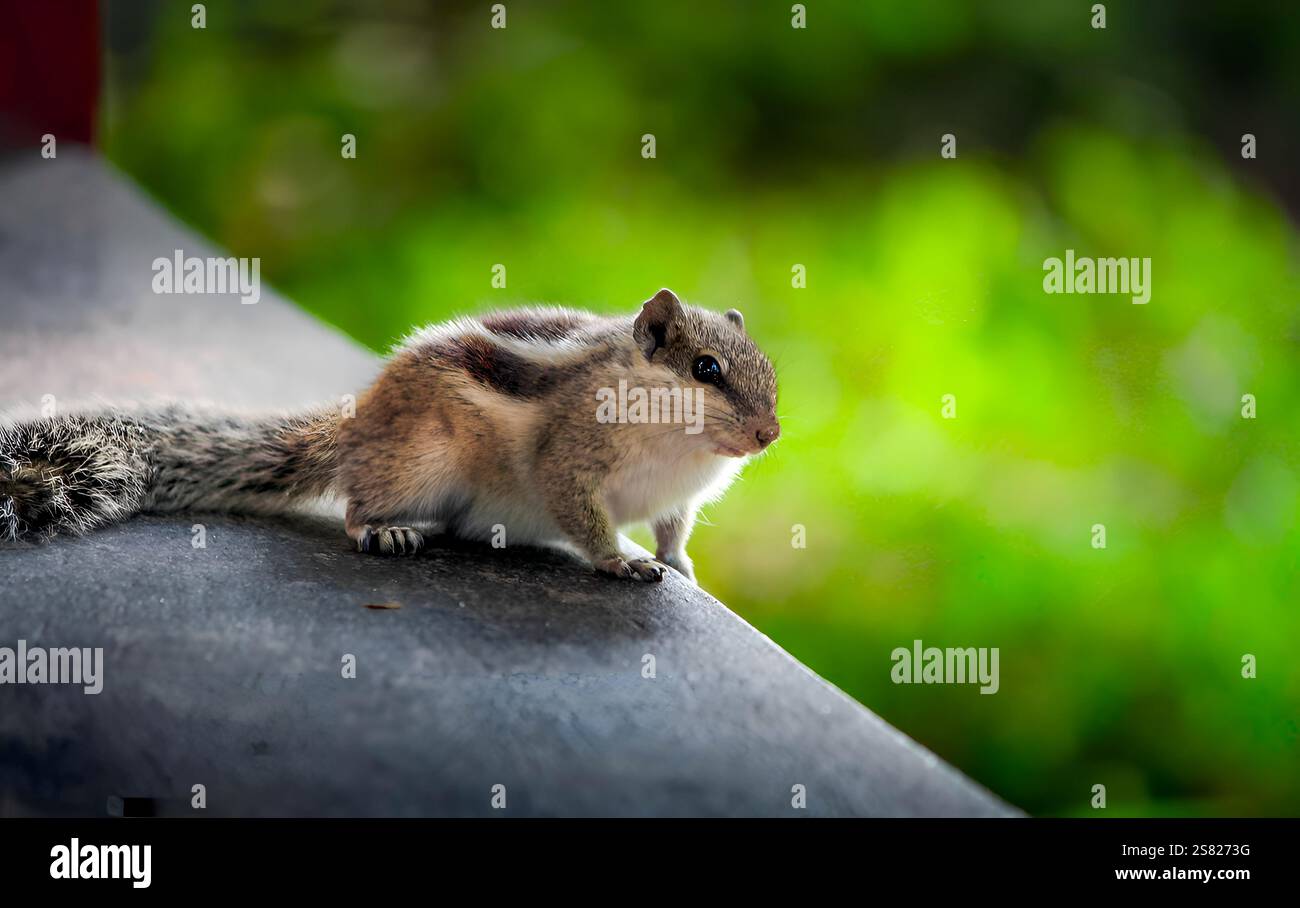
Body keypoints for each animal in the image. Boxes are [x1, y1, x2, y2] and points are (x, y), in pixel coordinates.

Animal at [0, 289, 779, 582]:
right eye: (706, 369)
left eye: (769, 372)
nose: (770, 434)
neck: (680, 447)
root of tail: (358, 426)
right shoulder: (569, 462)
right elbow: (585, 518)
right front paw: (621, 562)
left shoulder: (679, 498)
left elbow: (674, 527)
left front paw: (677, 563)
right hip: (418, 462)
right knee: (354, 504)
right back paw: (384, 530)